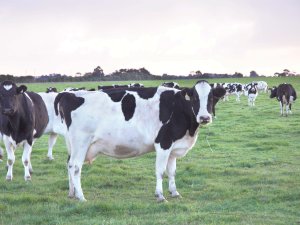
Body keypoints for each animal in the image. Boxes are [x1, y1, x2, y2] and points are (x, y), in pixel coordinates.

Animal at [54, 80, 226, 201]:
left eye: (212, 98)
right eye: (195, 98)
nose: (204, 117)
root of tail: (67, 94)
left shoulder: (173, 147)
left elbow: (172, 171)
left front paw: (175, 192)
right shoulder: (163, 142)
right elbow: (160, 170)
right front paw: (160, 195)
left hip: (73, 144)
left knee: (69, 164)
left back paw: (72, 193)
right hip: (81, 142)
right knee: (75, 167)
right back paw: (81, 196)